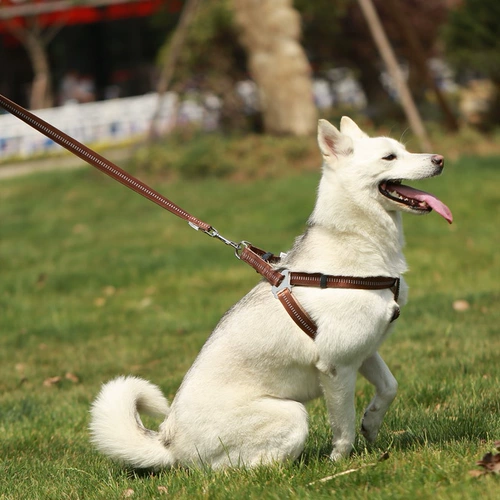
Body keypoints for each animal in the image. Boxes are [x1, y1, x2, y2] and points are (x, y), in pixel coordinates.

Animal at [90, 117, 454, 468]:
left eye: (404, 150)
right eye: (389, 157)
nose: (440, 159)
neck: (359, 247)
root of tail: (169, 442)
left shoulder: (364, 352)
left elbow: (389, 387)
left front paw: (372, 424)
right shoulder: (337, 369)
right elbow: (344, 428)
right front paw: (339, 462)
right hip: (292, 414)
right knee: (244, 468)